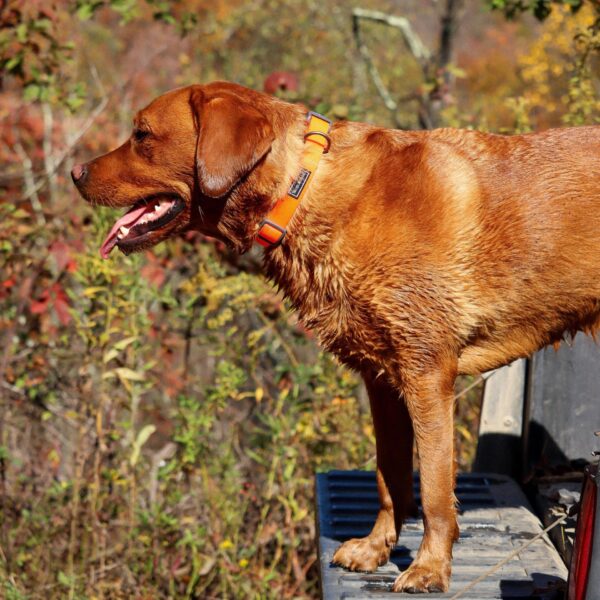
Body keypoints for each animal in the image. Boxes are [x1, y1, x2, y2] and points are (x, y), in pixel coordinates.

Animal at [72, 81, 600, 596]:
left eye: (142, 134)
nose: (75, 172)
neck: (301, 188)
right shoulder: (383, 380)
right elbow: (390, 477)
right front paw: (376, 548)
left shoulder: (427, 374)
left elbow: (433, 488)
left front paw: (430, 568)